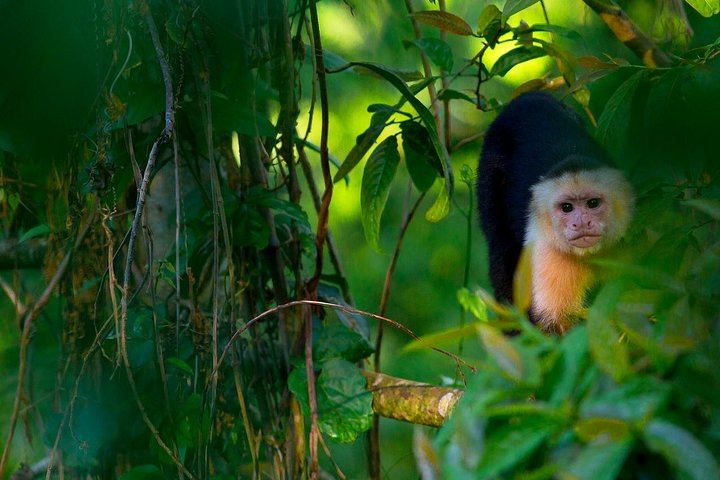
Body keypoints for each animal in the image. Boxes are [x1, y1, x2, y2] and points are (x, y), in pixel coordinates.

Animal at [476, 92, 633, 333]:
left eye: (593, 203)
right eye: (567, 208)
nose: (581, 223)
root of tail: (527, 97)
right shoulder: (547, 248)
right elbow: (554, 323)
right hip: (490, 167)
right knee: (502, 248)